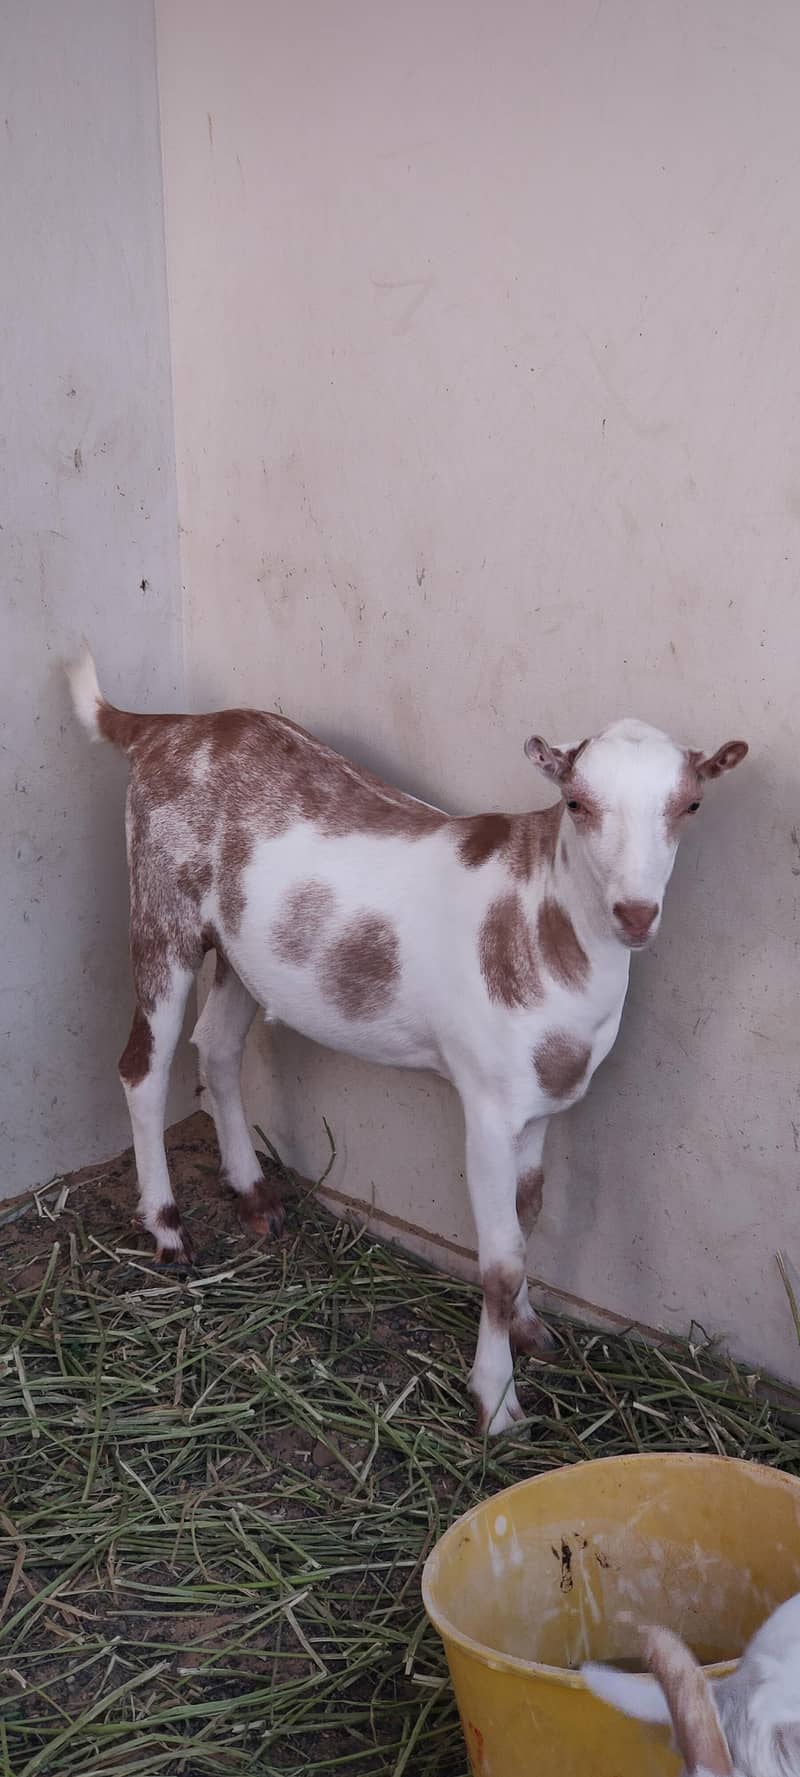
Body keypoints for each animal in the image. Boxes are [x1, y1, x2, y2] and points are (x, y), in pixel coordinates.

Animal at [67, 644, 747, 1433]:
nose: (634, 914)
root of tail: (162, 728)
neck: (541, 916)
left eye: (690, 805)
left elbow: (528, 1219)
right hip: (162, 905)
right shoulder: (486, 1103)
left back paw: (255, 1194)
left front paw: (531, 1330)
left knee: (219, 1046)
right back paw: (168, 1229)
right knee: (142, 1065)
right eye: (577, 803)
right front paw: (496, 1401)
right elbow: (499, 1258)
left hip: (242, 949)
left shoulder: (540, 1099)